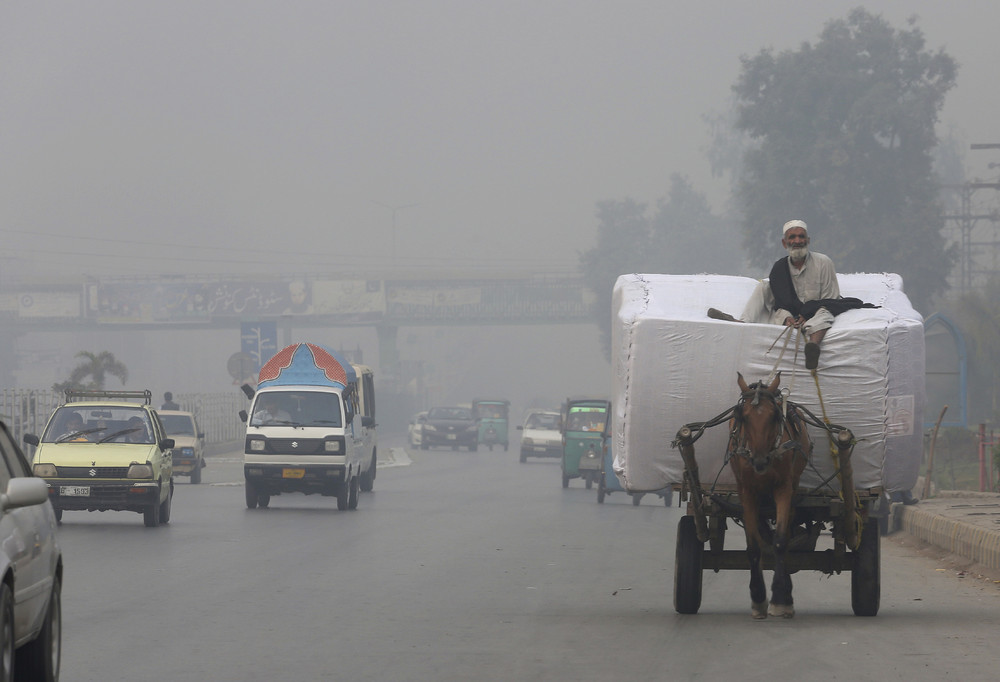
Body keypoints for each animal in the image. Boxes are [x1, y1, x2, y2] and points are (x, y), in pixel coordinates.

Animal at [732, 372, 808, 616]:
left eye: (775, 415)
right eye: (743, 417)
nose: (760, 461)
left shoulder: (783, 488)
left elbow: (781, 541)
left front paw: (780, 598)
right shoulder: (746, 490)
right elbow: (753, 546)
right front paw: (758, 596)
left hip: (793, 485)